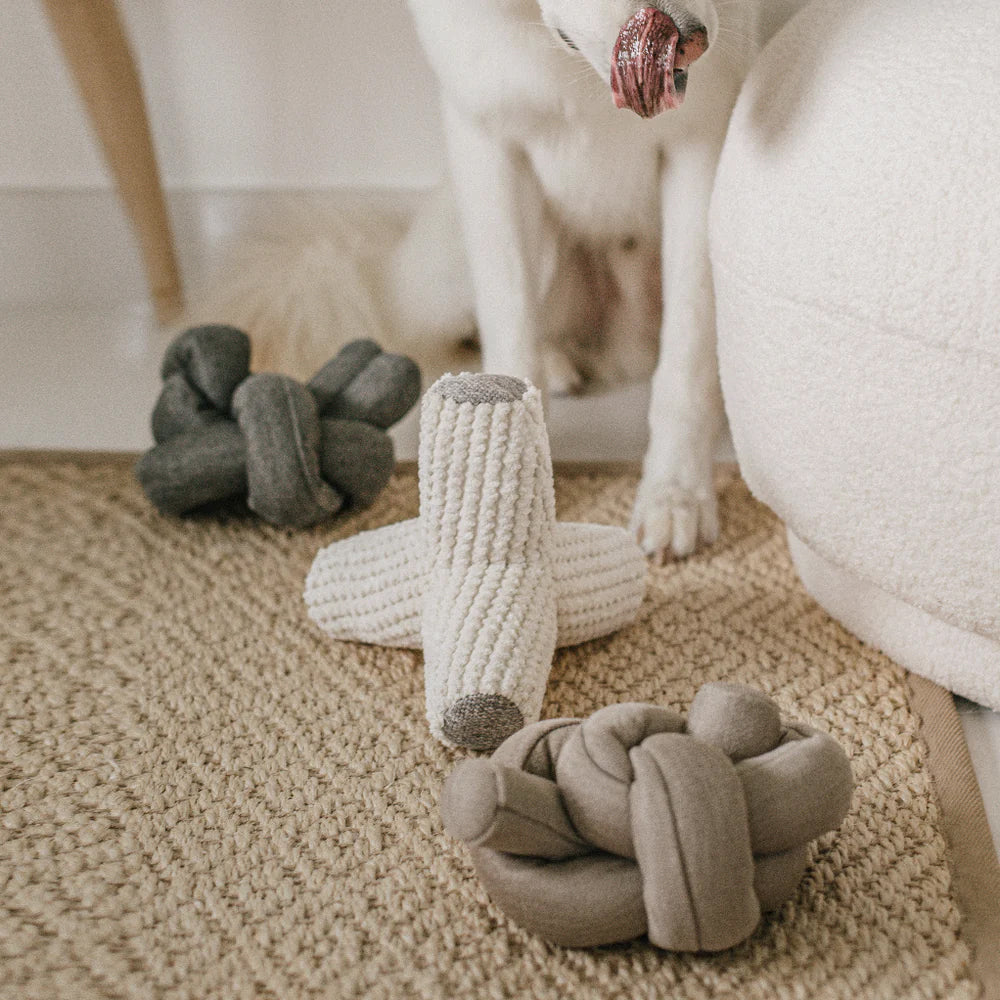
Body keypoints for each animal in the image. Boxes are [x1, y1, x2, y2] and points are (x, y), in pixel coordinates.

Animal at [382, 0, 804, 564]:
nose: (691, 43)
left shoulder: (699, 147)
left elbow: (686, 363)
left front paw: (676, 495)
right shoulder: (492, 151)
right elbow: (509, 329)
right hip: (463, 271)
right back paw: (559, 365)